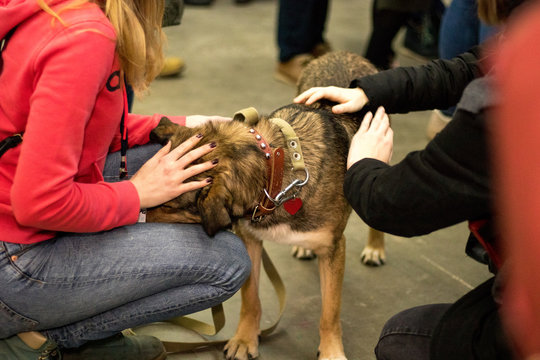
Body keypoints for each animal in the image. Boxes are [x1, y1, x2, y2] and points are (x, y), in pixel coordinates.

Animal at [147, 51, 384, 360]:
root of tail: (344, 54)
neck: (275, 169)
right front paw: (245, 339)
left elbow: (330, 312)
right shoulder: (250, 239)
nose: (137, 216)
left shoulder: (334, 248)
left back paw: (375, 248)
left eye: (169, 204)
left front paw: (331, 351)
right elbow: (251, 299)